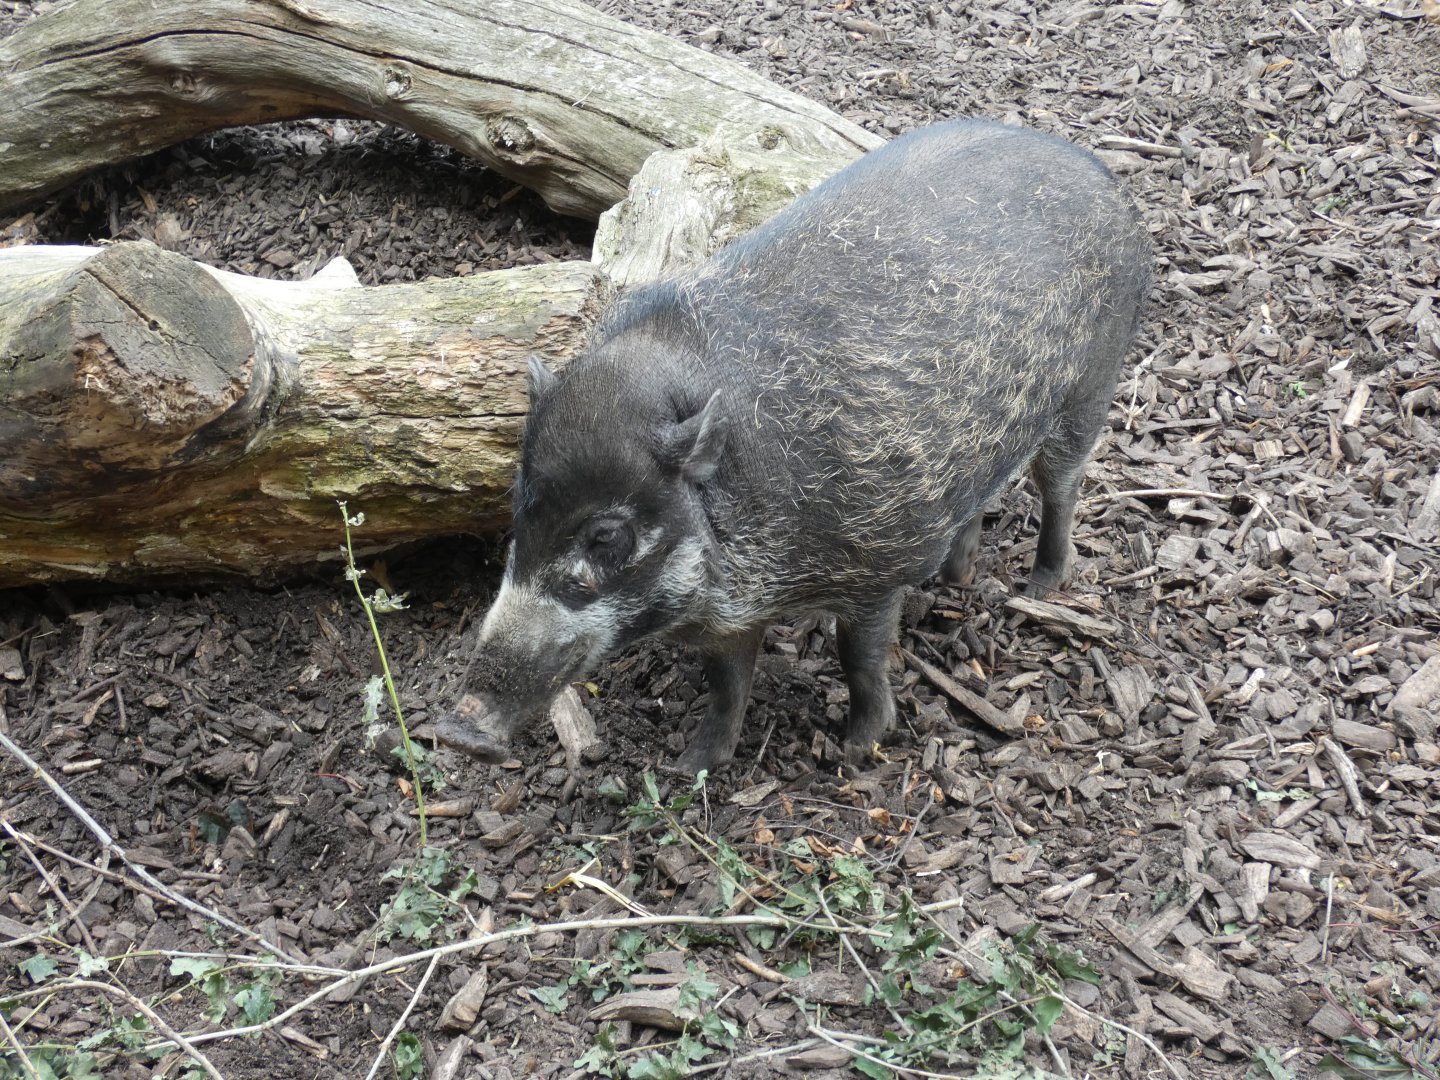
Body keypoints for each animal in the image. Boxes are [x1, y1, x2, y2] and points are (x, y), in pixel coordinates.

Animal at [439, 119, 1151, 773]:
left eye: (607, 535)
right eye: (519, 507)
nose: (457, 729)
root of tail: (1100, 175)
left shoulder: (876, 565)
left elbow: (857, 657)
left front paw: (857, 752)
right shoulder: (728, 617)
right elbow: (727, 685)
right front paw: (691, 767)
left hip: (1090, 387)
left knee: (1061, 487)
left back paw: (1041, 586)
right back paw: (955, 581)